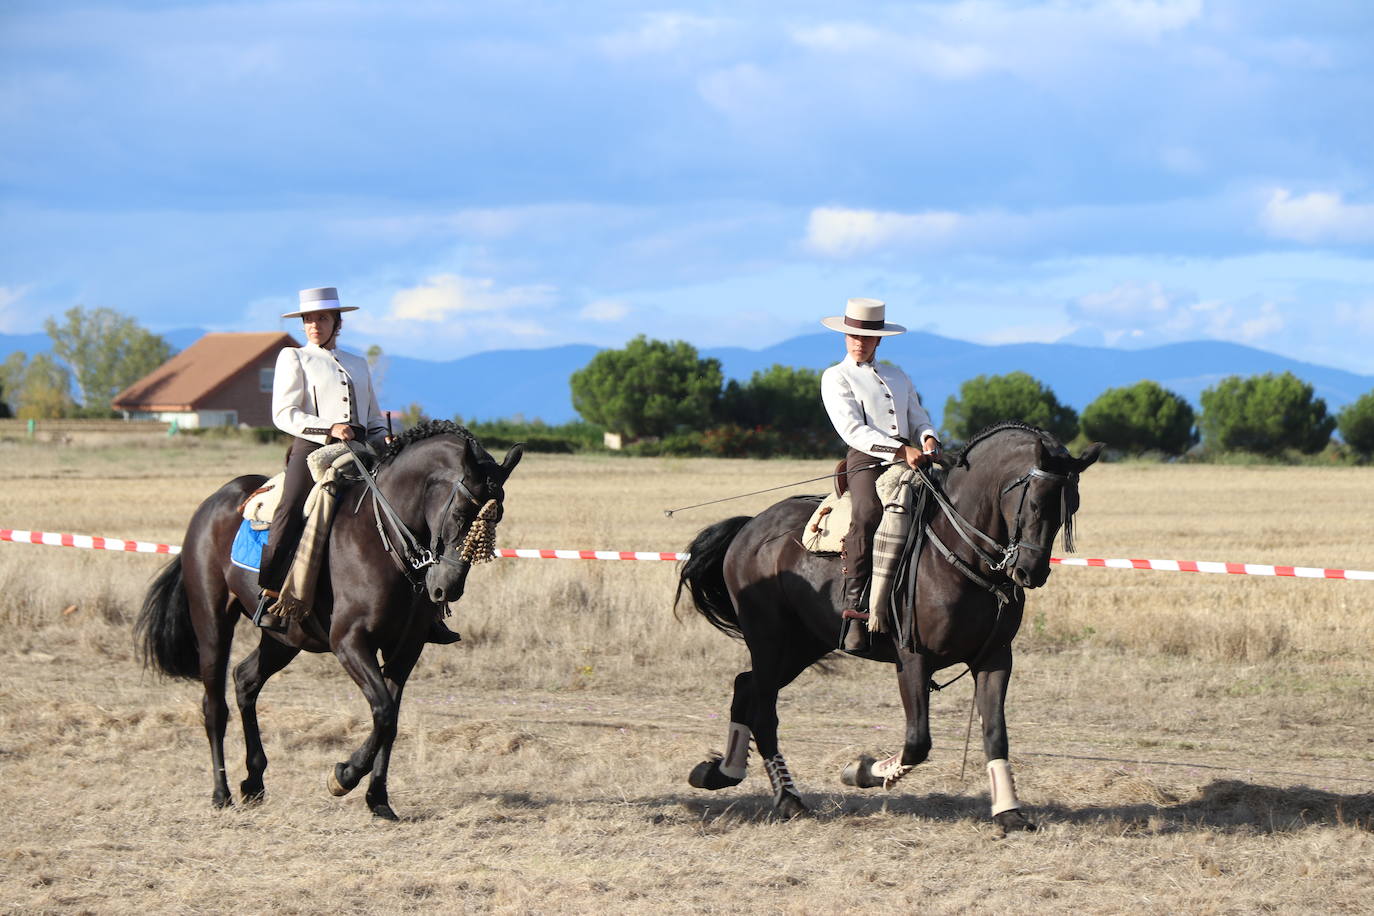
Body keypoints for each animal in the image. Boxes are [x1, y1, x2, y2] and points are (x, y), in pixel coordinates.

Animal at [136, 420, 519, 818]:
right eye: (460, 511)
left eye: (496, 517)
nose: (447, 587)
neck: (381, 538)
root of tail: (210, 504)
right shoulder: (350, 643)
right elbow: (383, 711)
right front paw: (344, 777)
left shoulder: (405, 650)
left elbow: (390, 721)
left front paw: (378, 800)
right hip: (213, 624)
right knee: (214, 706)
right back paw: (221, 792)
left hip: (284, 639)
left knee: (245, 680)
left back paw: (253, 781)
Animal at [676, 422, 1104, 829]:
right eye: (1034, 502)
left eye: (1071, 507)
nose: (1030, 573)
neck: (958, 554)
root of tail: (751, 527)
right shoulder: (912, 659)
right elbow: (918, 741)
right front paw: (861, 770)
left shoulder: (995, 659)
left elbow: (996, 734)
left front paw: (1009, 813)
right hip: (771, 639)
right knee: (763, 708)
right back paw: (788, 799)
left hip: (803, 644)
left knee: (745, 687)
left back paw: (720, 772)